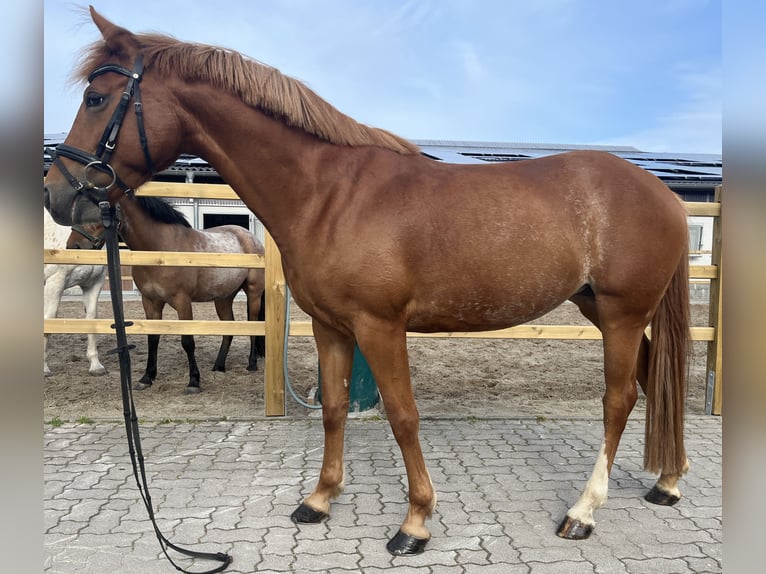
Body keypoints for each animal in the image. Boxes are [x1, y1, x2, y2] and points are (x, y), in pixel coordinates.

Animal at [45, 7, 692, 560]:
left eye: (97, 98)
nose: (57, 194)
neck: (329, 194)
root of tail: (661, 194)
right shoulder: (332, 326)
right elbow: (333, 409)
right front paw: (319, 499)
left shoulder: (381, 328)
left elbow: (403, 416)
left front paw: (415, 523)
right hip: (603, 311)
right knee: (656, 381)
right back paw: (668, 482)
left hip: (621, 314)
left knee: (619, 399)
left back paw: (583, 511)